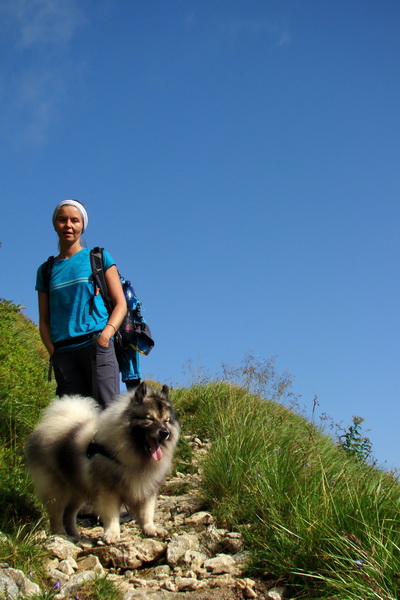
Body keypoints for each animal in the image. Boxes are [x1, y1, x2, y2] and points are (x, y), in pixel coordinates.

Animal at [25, 384, 180, 544]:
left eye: (167, 420)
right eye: (149, 418)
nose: (165, 433)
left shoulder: (146, 489)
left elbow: (146, 513)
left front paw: (151, 529)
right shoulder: (109, 491)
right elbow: (112, 515)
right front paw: (112, 534)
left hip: (78, 491)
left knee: (69, 514)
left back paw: (74, 534)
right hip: (57, 490)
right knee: (56, 513)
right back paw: (60, 533)